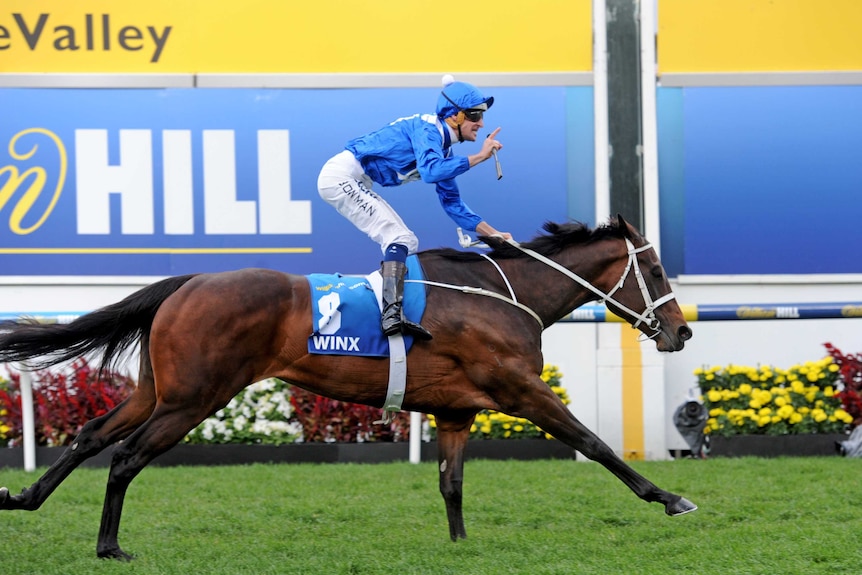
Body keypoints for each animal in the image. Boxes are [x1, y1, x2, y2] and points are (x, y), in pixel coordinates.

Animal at [0, 215, 696, 560]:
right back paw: (109, 545)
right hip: (193, 398)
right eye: (658, 269)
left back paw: (24, 498)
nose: (683, 331)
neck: (504, 295)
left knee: (91, 435)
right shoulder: (522, 390)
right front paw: (669, 498)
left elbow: (451, 483)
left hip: (159, 390)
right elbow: (597, 445)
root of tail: (189, 281)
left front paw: (461, 546)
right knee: (125, 457)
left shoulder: (456, 412)